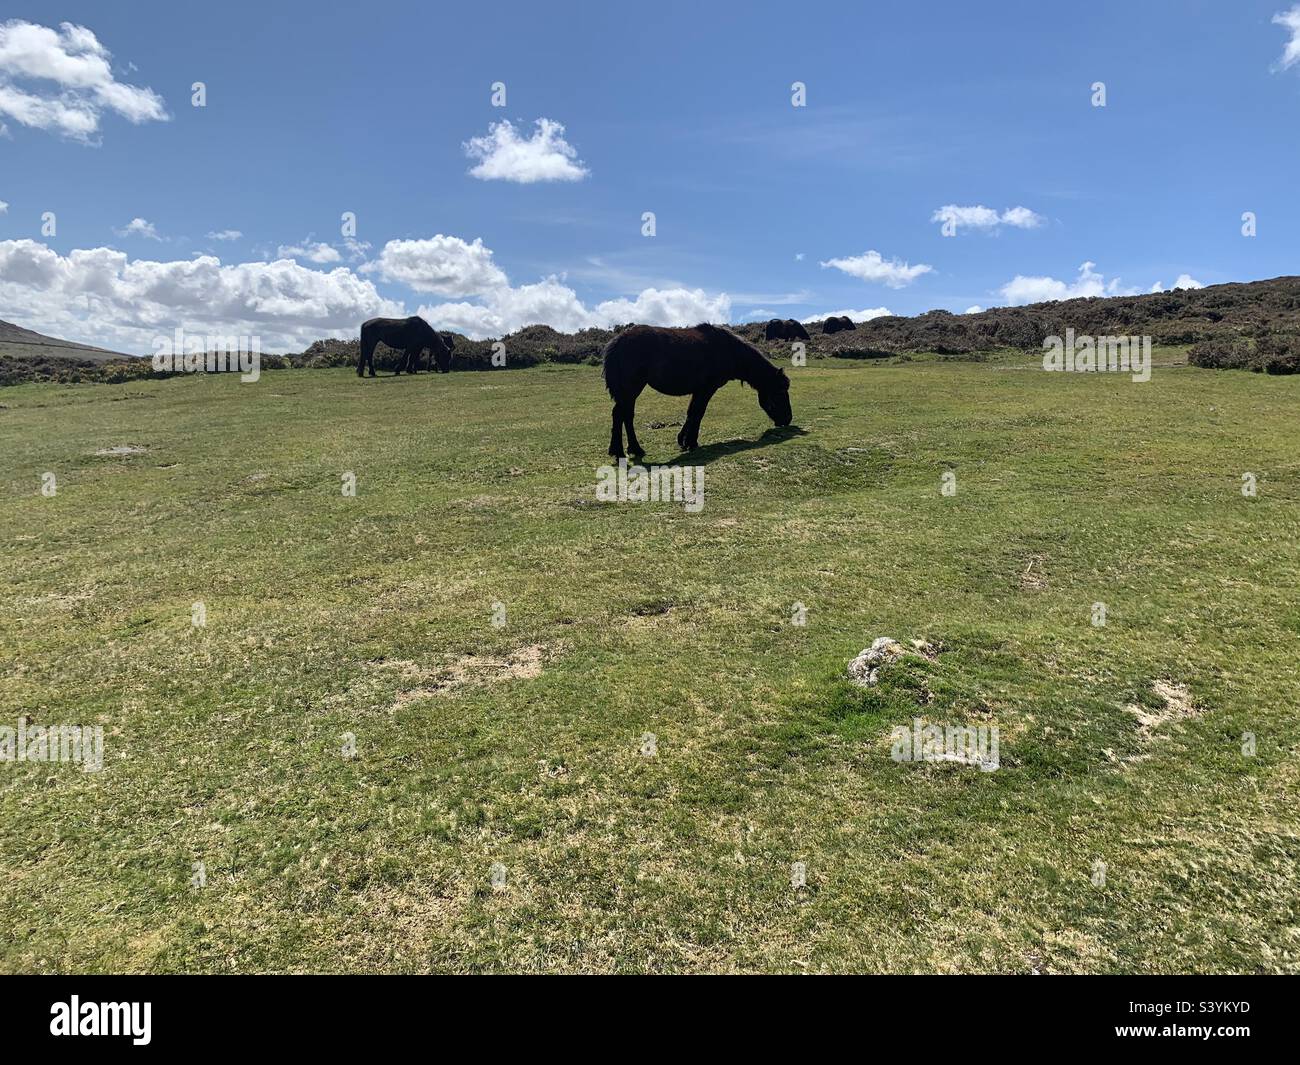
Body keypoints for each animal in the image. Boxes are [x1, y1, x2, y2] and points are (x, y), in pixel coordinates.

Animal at [602, 323, 793, 458]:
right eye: (780, 392)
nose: (788, 420)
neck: (729, 350)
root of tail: (618, 341)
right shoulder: (707, 389)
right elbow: (698, 412)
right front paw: (691, 442)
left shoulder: (699, 390)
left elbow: (691, 412)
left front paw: (683, 440)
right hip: (631, 389)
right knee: (622, 415)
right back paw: (626, 450)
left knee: (623, 415)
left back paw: (627, 449)